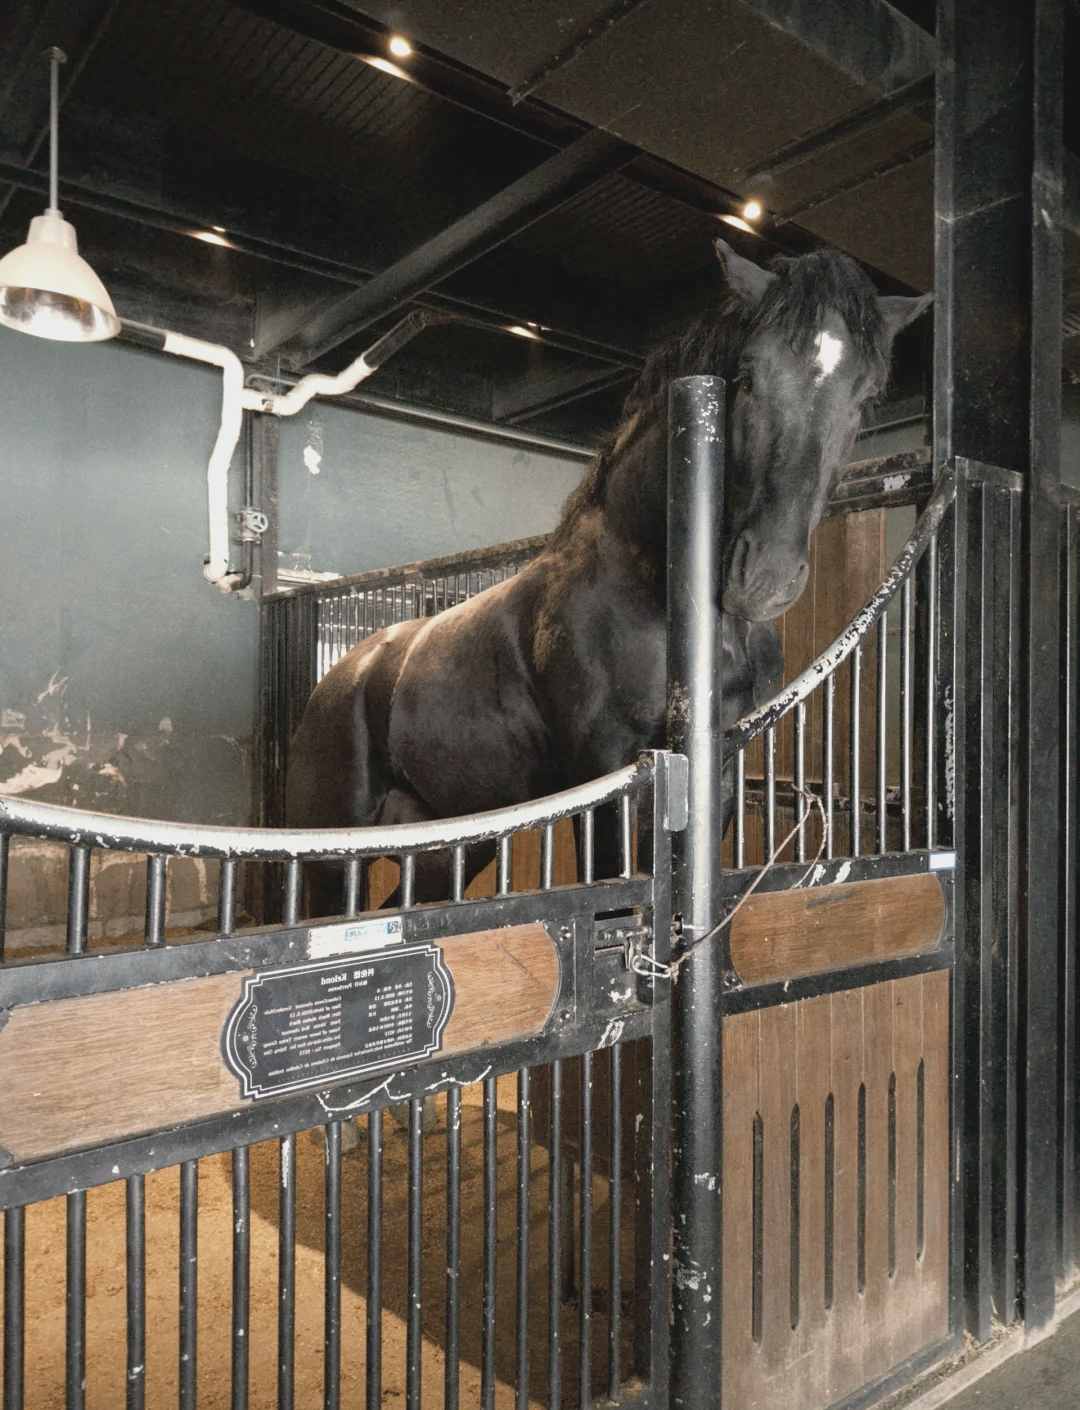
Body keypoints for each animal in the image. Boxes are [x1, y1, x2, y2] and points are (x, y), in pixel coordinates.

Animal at [287, 239, 930, 902]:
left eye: (865, 400)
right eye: (748, 377)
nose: (765, 579)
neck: (655, 586)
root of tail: (341, 676)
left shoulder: (720, 770)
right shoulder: (608, 773)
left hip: (450, 846)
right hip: (331, 859)